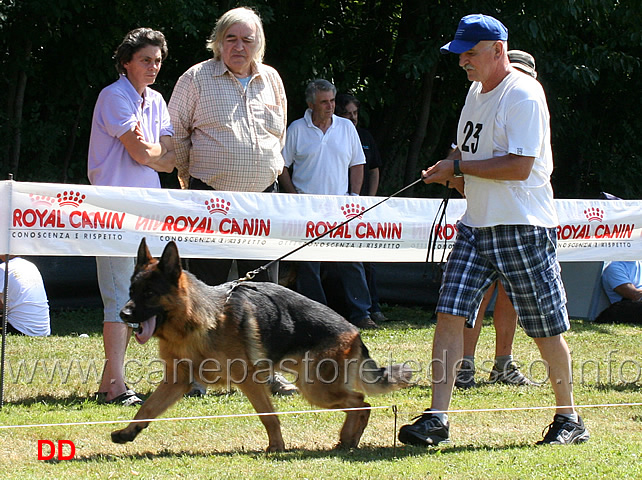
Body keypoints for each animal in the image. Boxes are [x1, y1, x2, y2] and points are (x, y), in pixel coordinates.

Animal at [110, 242, 410, 452]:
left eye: (149, 293)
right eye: (131, 292)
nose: (122, 315)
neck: (197, 321)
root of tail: (354, 331)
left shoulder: (249, 380)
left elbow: (268, 416)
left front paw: (276, 447)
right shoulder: (176, 381)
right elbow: (148, 409)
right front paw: (129, 432)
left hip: (316, 388)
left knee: (361, 403)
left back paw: (349, 438)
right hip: (318, 387)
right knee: (358, 404)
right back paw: (348, 439)